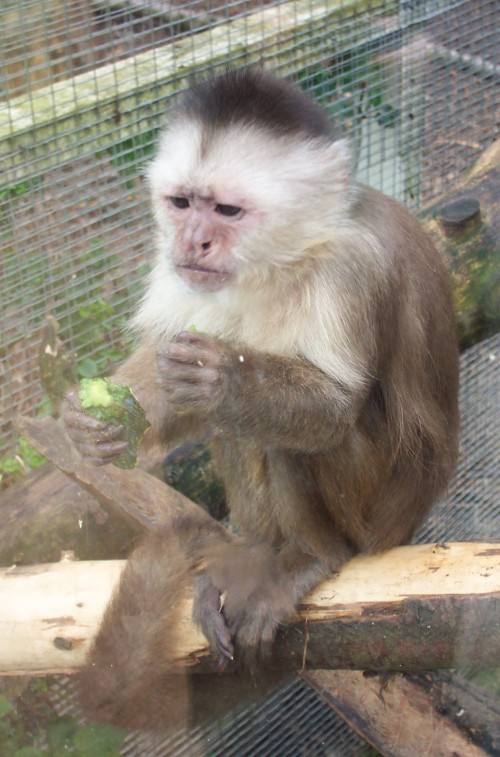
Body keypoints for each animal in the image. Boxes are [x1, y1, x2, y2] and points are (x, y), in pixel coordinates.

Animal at [64, 69, 458, 728]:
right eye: (182, 204)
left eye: (227, 210)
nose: (193, 241)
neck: (285, 260)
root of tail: (414, 524)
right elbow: (167, 361)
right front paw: (93, 422)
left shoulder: (349, 269)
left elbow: (333, 409)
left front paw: (225, 378)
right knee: (236, 429)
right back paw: (251, 550)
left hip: (383, 518)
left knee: (292, 441)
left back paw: (313, 557)